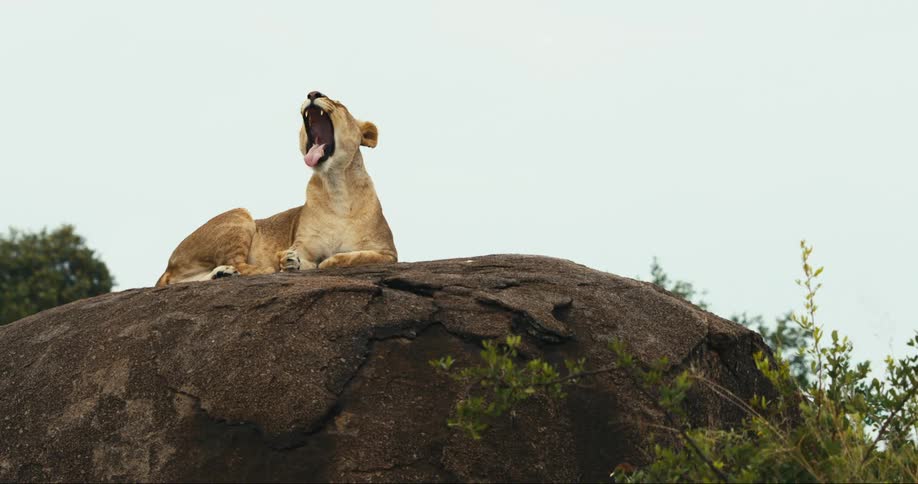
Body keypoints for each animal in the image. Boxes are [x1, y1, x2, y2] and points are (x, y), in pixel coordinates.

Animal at [154, 91, 397, 286]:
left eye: (339, 103)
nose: (313, 93)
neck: (336, 186)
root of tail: (168, 264)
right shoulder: (302, 246)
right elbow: (302, 260)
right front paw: (288, 262)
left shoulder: (389, 253)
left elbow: (357, 256)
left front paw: (330, 260)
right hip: (240, 215)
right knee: (239, 263)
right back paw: (255, 269)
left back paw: (222, 274)